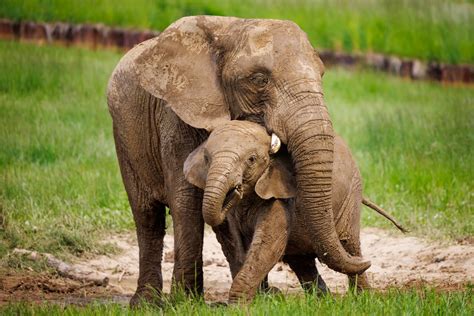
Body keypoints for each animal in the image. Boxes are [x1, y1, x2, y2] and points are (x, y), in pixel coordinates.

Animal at [107, 15, 370, 306]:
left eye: (321, 75)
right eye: (259, 79)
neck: (232, 29)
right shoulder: (175, 113)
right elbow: (186, 200)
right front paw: (185, 303)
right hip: (124, 137)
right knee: (147, 216)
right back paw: (146, 303)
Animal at [185, 120, 404, 302]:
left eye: (251, 159)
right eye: (207, 158)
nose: (235, 189)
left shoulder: (281, 196)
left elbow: (268, 245)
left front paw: (239, 306)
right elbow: (238, 245)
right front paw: (262, 299)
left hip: (351, 195)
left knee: (349, 245)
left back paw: (362, 298)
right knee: (302, 261)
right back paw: (322, 301)